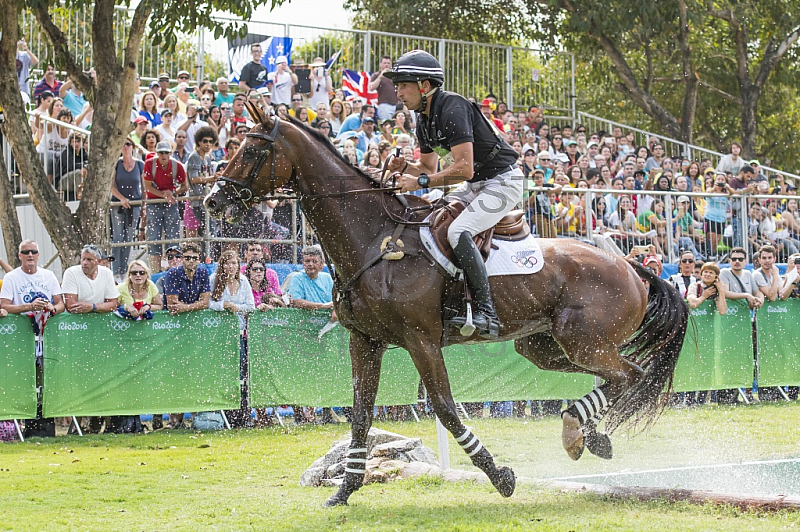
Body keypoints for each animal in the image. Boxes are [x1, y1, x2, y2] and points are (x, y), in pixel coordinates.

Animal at [205, 105, 688, 508]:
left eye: (252, 150)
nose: (213, 200)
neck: (374, 240)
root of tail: (632, 266)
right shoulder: (365, 342)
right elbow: (360, 414)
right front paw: (344, 490)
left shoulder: (421, 341)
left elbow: (445, 408)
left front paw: (500, 477)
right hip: (546, 347)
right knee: (622, 375)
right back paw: (588, 434)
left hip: (581, 341)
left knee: (629, 375)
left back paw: (576, 431)